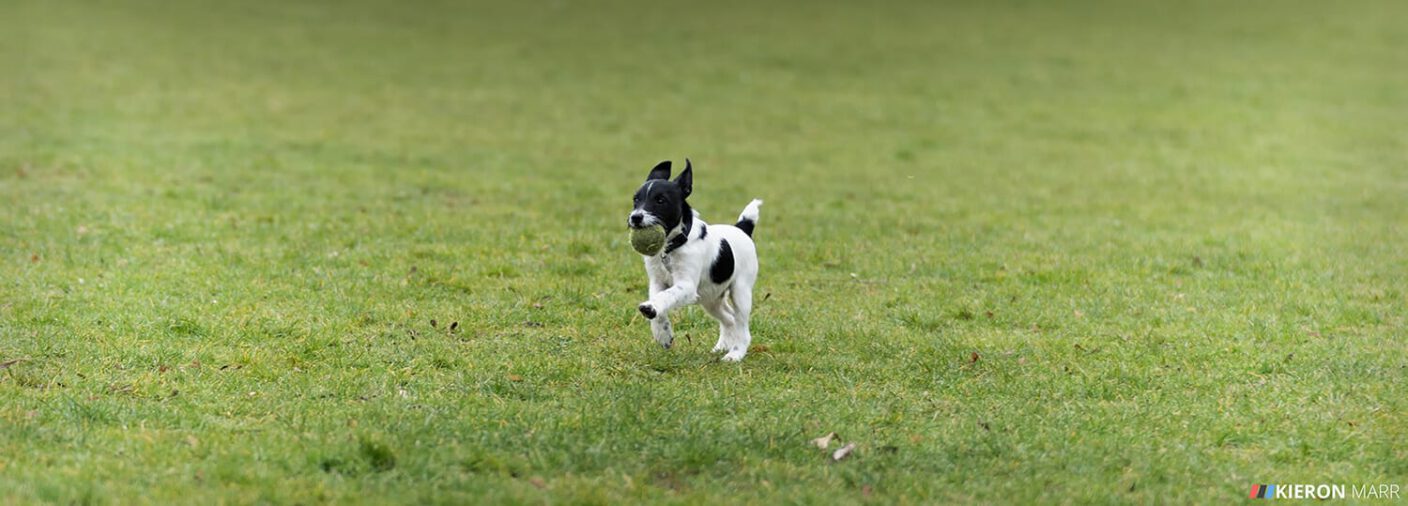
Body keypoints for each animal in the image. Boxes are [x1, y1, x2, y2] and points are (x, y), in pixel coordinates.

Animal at [625, 160, 760, 363]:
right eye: (636, 199)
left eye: (660, 200)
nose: (635, 217)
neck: (671, 247)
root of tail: (742, 228)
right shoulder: (657, 281)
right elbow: (659, 302)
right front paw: (662, 334)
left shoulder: (686, 285)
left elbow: (665, 296)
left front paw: (650, 309)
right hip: (711, 298)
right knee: (729, 319)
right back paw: (721, 346)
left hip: (740, 291)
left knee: (742, 327)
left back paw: (735, 354)